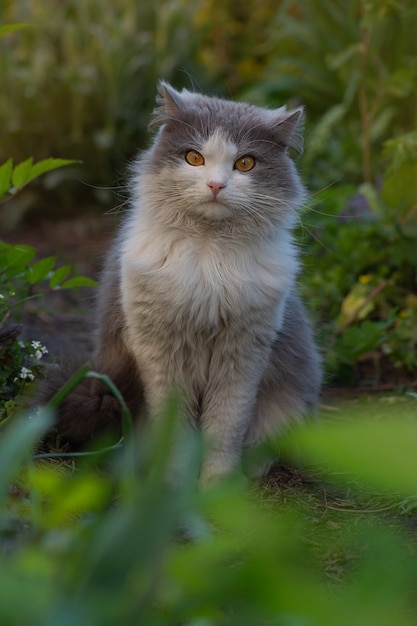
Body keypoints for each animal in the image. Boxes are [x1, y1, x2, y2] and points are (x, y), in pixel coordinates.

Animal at [41, 83, 322, 482]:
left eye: (245, 163)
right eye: (193, 157)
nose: (216, 184)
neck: (208, 254)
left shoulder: (242, 355)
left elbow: (226, 426)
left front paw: (216, 484)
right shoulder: (162, 353)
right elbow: (175, 430)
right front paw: (174, 482)